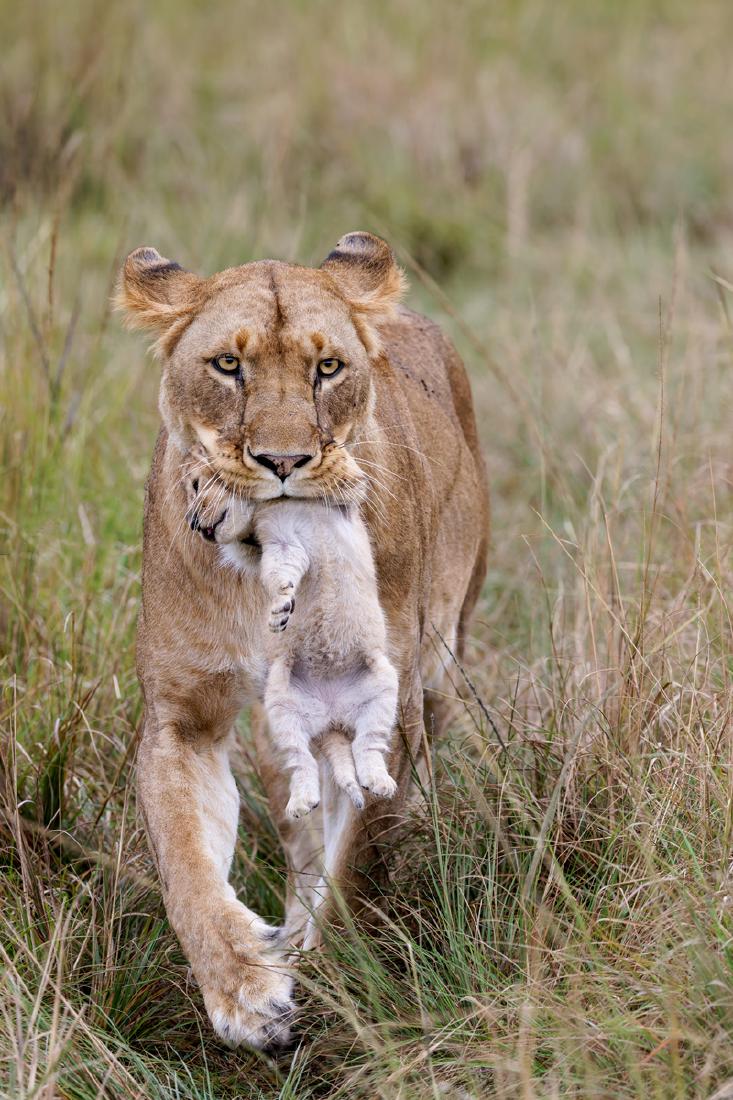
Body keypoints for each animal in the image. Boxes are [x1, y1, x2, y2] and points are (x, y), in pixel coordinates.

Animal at [117, 231, 489, 1050]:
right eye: (229, 365)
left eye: (328, 368)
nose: (283, 463)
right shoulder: (183, 719)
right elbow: (185, 865)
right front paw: (245, 989)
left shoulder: (390, 707)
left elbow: (357, 865)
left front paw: (328, 975)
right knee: (299, 826)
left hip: (443, 668)